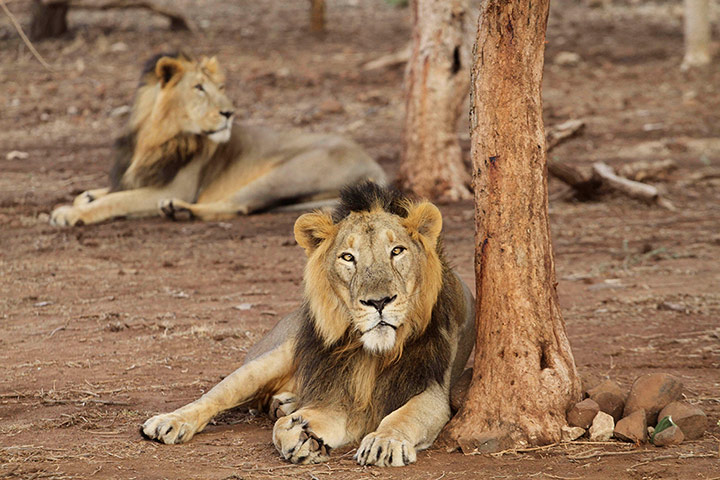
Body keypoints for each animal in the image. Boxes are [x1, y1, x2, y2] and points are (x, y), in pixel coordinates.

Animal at [50, 53, 386, 226]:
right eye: (199, 87)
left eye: (221, 87)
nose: (229, 112)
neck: (153, 135)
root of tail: (376, 165)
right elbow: (100, 192)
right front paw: (84, 199)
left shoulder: (174, 186)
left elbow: (114, 201)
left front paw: (71, 214)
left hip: (283, 175)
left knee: (238, 205)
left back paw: (179, 210)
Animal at [141, 182, 476, 467]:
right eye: (348, 257)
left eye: (397, 251)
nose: (378, 302)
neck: (376, 355)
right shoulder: (340, 395)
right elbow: (281, 426)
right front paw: (300, 436)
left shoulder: (435, 392)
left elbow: (404, 416)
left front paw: (384, 441)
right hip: (272, 357)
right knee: (218, 394)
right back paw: (169, 422)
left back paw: (286, 403)